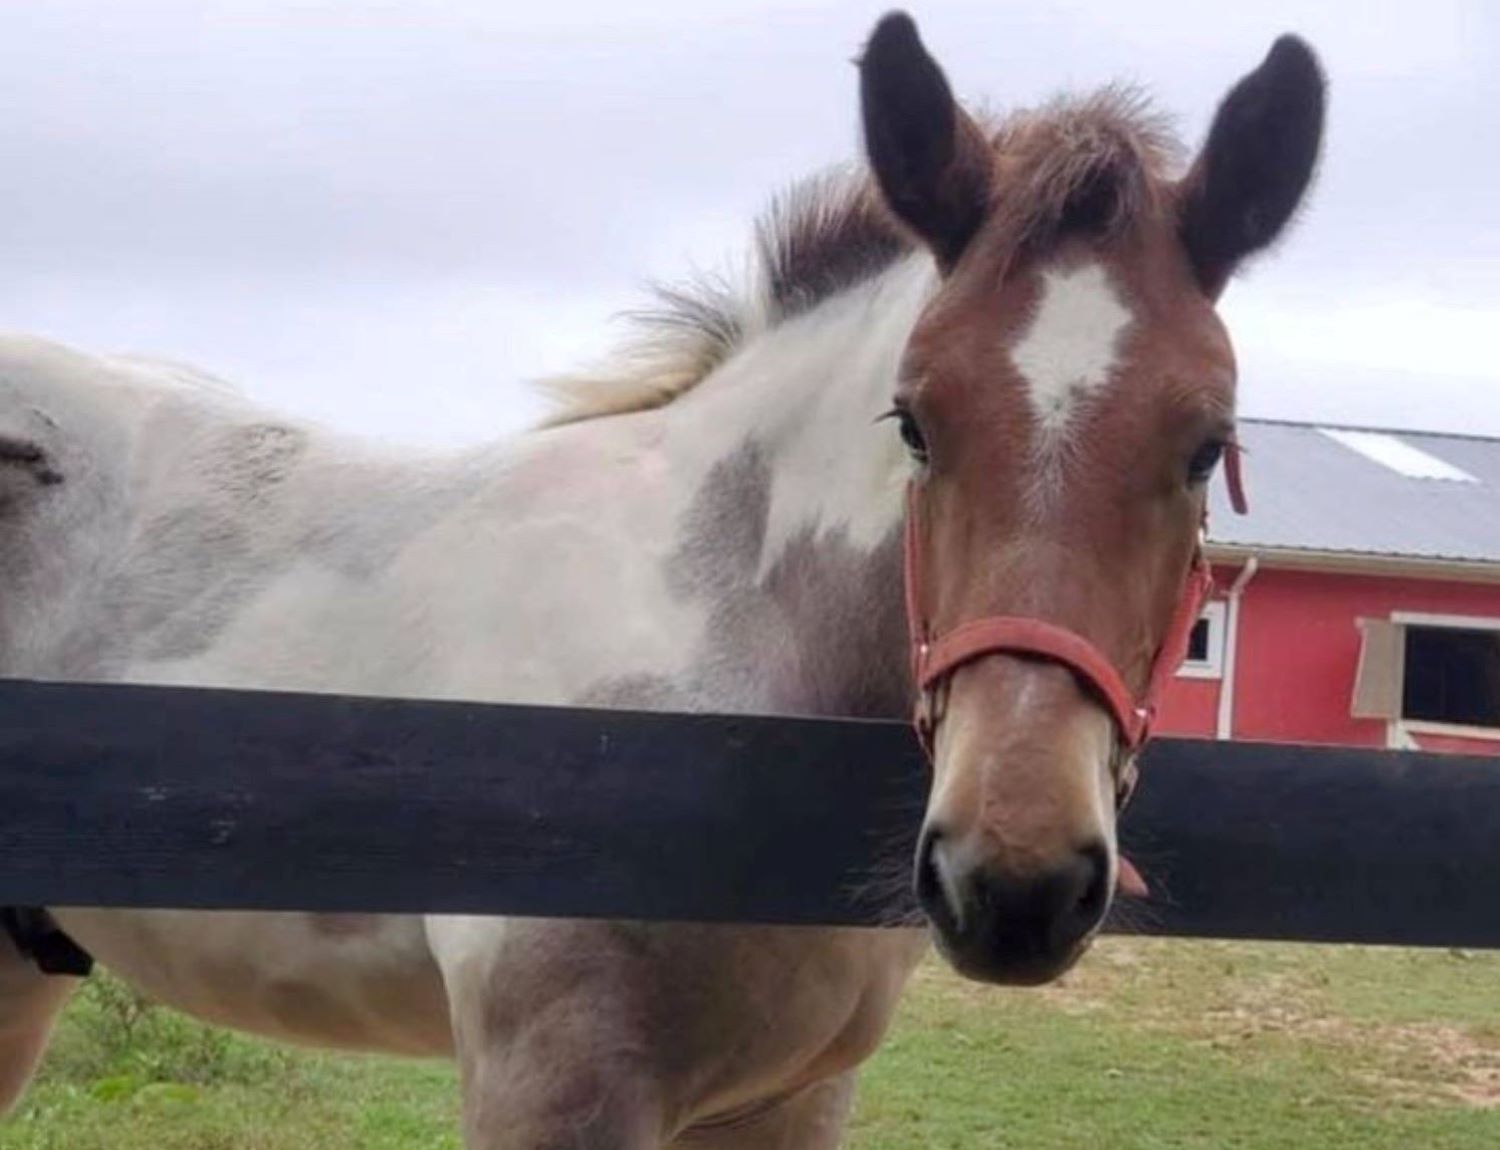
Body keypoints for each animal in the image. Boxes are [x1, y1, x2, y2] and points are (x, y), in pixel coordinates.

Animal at [0, 12, 1324, 1148]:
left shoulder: (791, 1099)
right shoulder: (553, 1081)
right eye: (914, 421)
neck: (721, 650)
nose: (1015, 880)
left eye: (1205, 441)